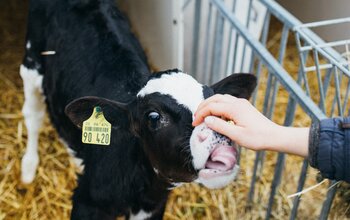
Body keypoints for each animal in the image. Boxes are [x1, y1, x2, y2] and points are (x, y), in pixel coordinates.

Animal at [20, 0, 256, 219]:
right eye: (153, 116)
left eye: (216, 105)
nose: (218, 136)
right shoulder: (87, 202)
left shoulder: (152, 207)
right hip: (31, 62)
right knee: (33, 115)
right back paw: (28, 167)